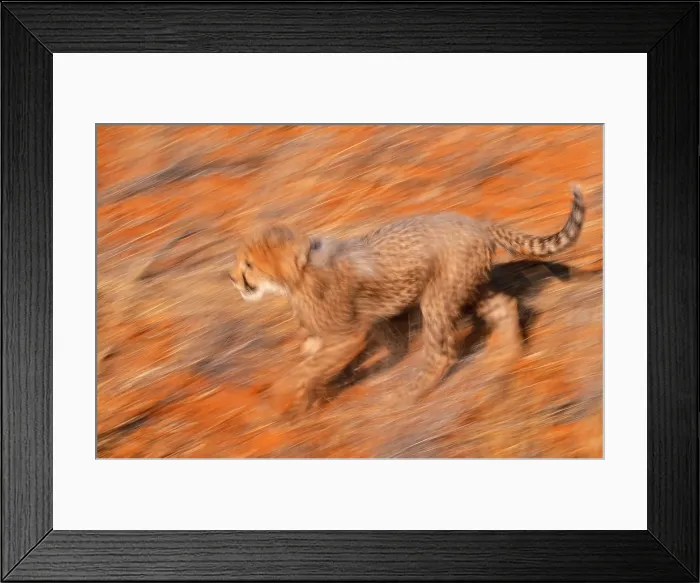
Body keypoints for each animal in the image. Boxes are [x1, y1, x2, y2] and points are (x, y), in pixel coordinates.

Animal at [229, 185, 585, 414]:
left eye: (248, 264)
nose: (232, 278)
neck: (298, 275)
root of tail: (476, 223)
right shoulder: (339, 333)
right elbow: (312, 367)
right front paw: (309, 401)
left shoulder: (348, 334)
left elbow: (304, 370)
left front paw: (280, 402)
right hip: (467, 288)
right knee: (504, 306)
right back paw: (508, 356)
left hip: (437, 299)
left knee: (442, 352)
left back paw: (409, 396)